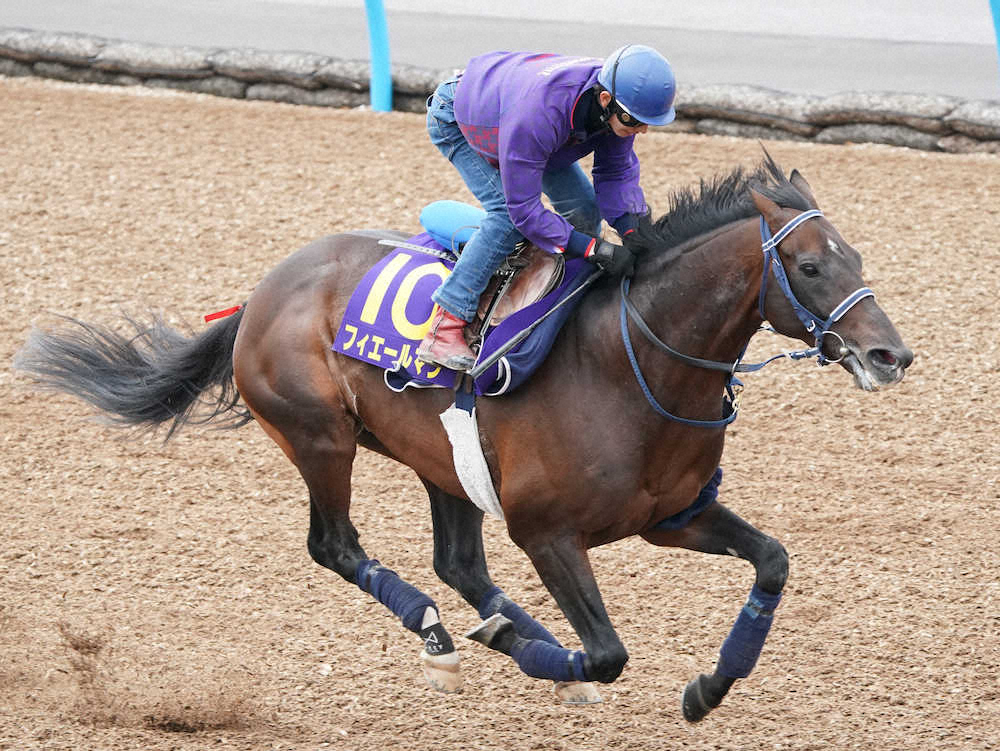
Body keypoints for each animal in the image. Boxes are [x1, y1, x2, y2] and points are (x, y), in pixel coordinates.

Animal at [13, 154, 916, 724]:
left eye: (857, 256)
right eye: (808, 265)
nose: (889, 354)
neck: (631, 365)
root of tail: (262, 290)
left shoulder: (673, 515)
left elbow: (773, 561)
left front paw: (709, 686)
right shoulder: (548, 531)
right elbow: (607, 651)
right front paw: (547, 656)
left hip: (441, 459)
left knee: (457, 560)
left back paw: (498, 628)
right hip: (321, 436)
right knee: (337, 546)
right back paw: (447, 632)